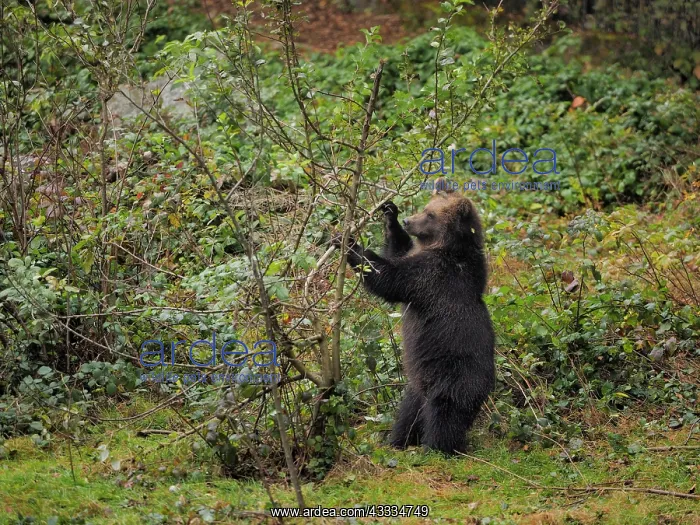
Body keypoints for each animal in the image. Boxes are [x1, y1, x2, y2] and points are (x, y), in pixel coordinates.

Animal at [337, 184, 495, 454]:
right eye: (425, 207)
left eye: (430, 215)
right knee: (409, 413)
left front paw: (347, 242)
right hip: (418, 384)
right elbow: (398, 251)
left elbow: (388, 277)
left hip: (453, 377)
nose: (409, 221)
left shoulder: (431, 276)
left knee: (445, 414)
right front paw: (390, 213)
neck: (448, 248)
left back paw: (436, 448)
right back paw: (398, 440)